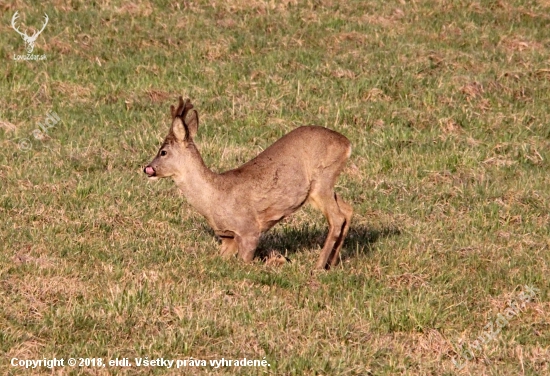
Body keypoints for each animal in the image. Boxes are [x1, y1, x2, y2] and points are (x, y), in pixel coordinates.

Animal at [146, 97, 354, 268]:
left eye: (163, 152)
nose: (147, 168)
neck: (213, 198)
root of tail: (347, 144)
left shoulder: (249, 229)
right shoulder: (227, 236)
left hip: (322, 178)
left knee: (337, 217)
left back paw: (318, 266)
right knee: (347, 209)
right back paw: (332, 263)